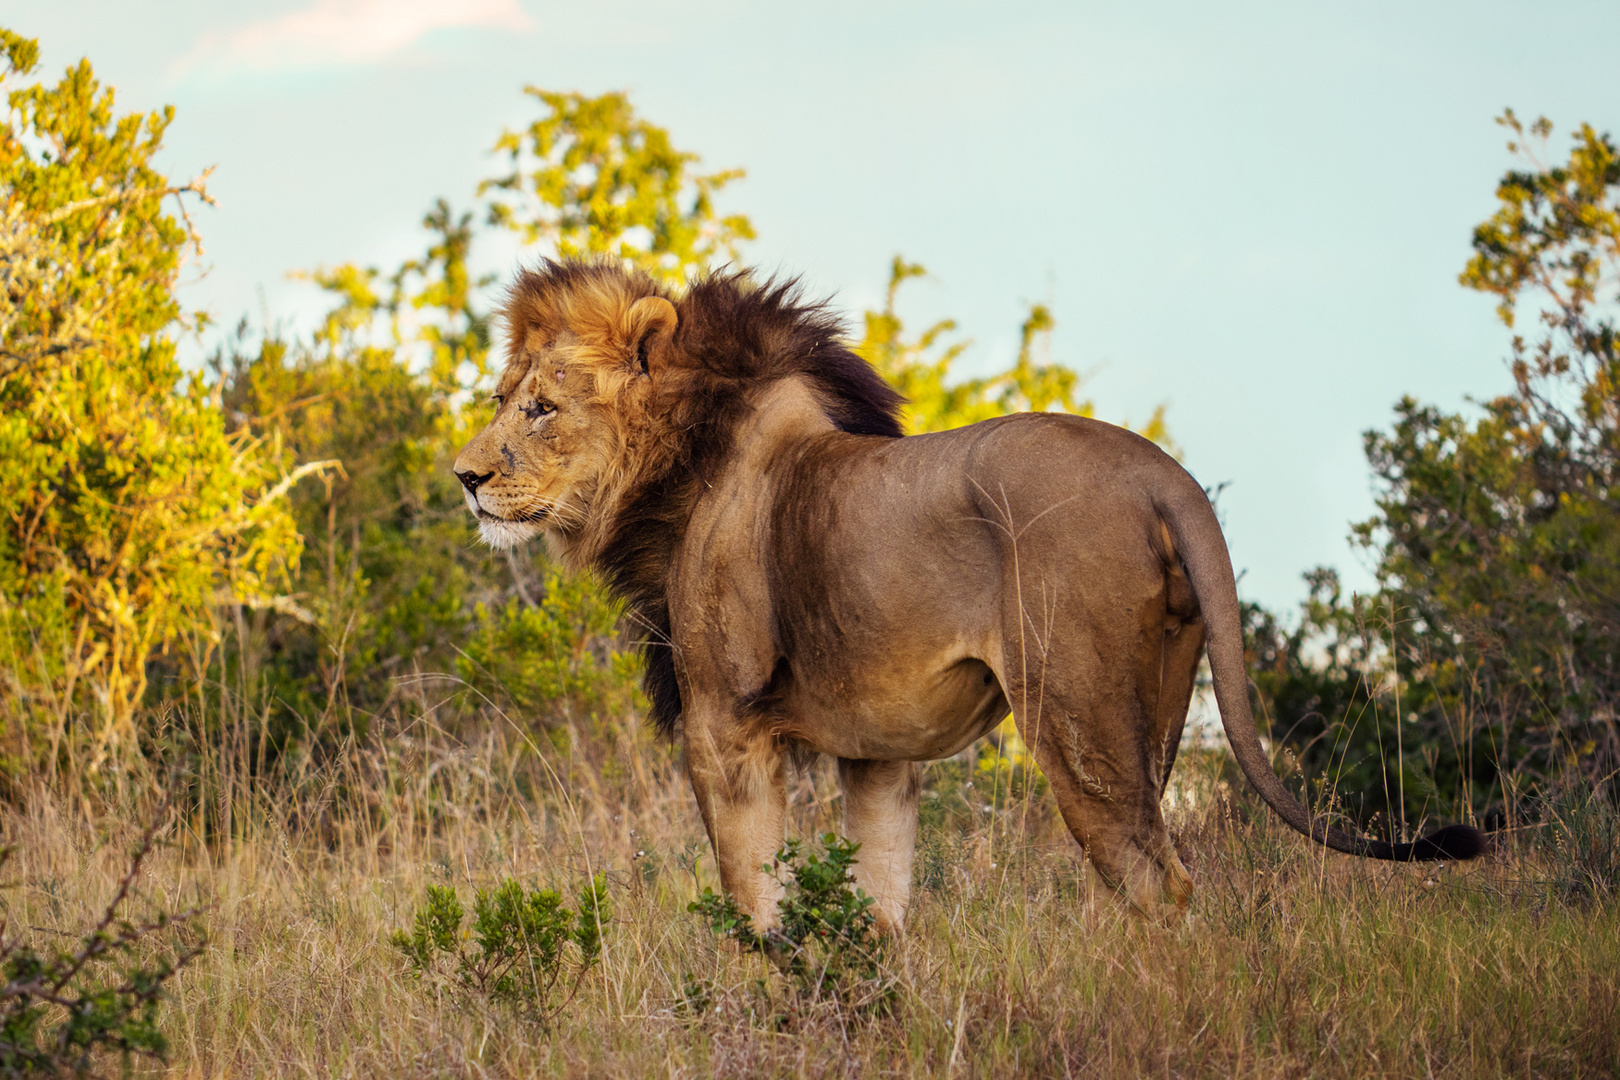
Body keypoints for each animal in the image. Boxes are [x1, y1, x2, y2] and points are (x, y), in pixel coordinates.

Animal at [453, 263, 1483, 939]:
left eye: (540, 408)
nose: (465, 477)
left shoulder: (724, 727)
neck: (684, 464)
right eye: (504, 397)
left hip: (1074, 713)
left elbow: (757, 912)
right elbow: (879, 904)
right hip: (1155, 700)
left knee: (1157, 881)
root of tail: (1159, 472)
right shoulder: (877, 751)